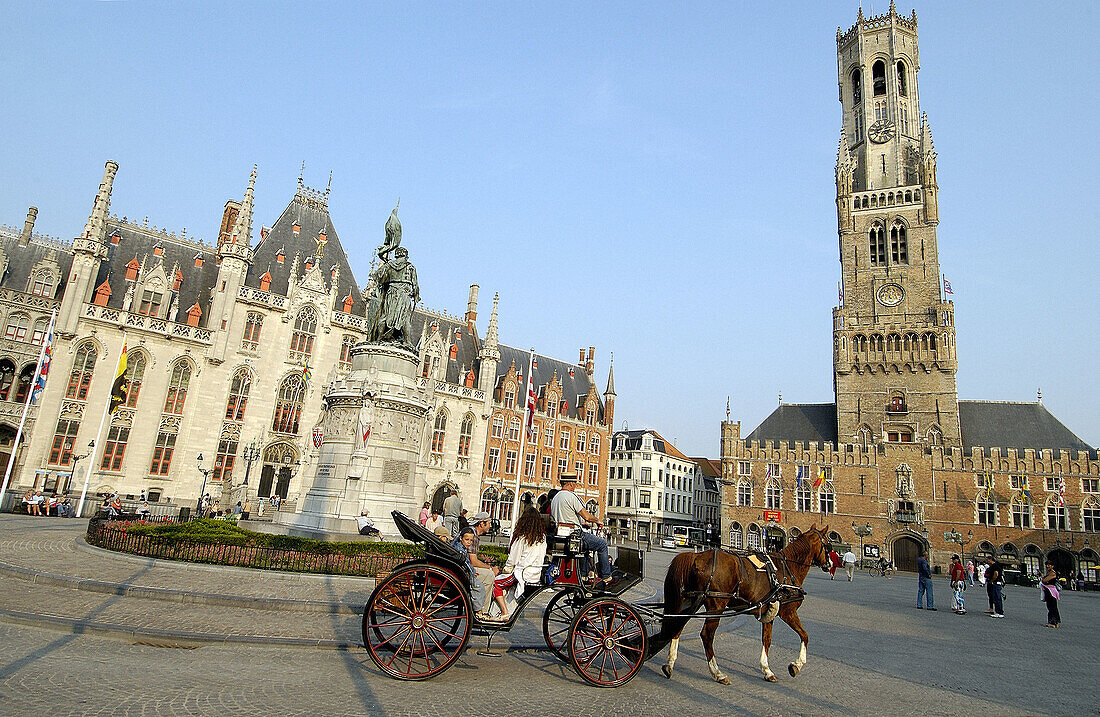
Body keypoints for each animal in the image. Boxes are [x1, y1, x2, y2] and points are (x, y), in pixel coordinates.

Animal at [646, 525, 827, 681]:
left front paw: (767, 670)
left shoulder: (769, 613)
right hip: (716, 605)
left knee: (676, 627)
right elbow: (804, 635)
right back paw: (717, 673)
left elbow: (767, 640)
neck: (787, 569)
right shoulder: (788, 612)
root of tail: (695, 556)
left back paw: (669, 666)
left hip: (690, 601)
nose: (829, 564)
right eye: (827, 544)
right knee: (706, 635)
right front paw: (795, 666)